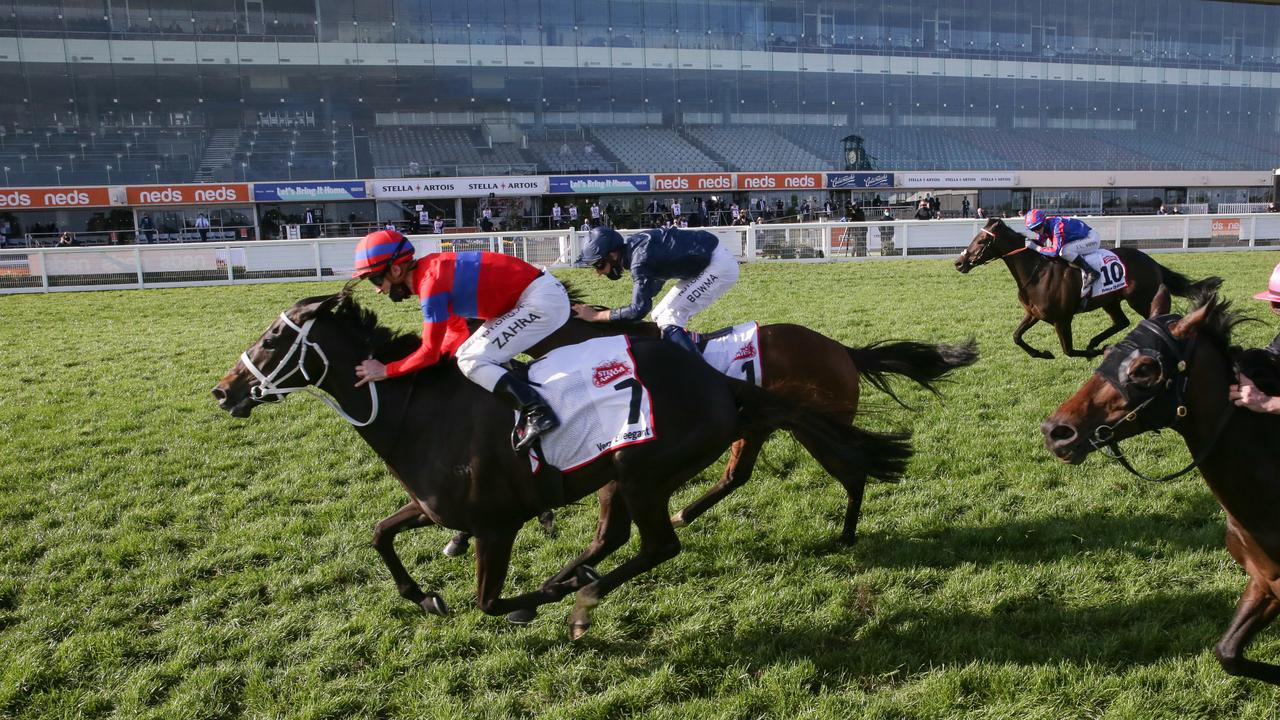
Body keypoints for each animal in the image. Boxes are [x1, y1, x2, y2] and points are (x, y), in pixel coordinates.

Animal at [212, 292, 911, 632]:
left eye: (273, 339)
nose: (223, 391)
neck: (415, 408)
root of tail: (720, 383)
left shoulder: (497, 525)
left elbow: (489, 603)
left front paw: (533, 599)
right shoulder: (434, 507)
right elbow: (380, 535)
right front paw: (424, 594)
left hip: (642, 471)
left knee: (658, 543)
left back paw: (581, 593)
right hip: (629, 474)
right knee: (630, 533)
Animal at [440, 292, 977, 556]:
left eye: (469, 323)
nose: (452, 360)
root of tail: (843, 350)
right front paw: (462, 534)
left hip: (813, 426)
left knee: (852, 471)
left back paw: (844, 536)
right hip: (767, 427)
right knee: (739, 475)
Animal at [962, 213, 1218, 356]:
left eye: (982, 241)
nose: (959, 262)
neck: (1036, 274)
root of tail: (1151, 261)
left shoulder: (1062, 319)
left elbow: (1069, 351)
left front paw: (1095, 351)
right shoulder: (1033, 314)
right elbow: (1017, 337)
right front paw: (1043, 354)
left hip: (1142, 300)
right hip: (1111, 300)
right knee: (1121, 322)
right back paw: (1096, 340)